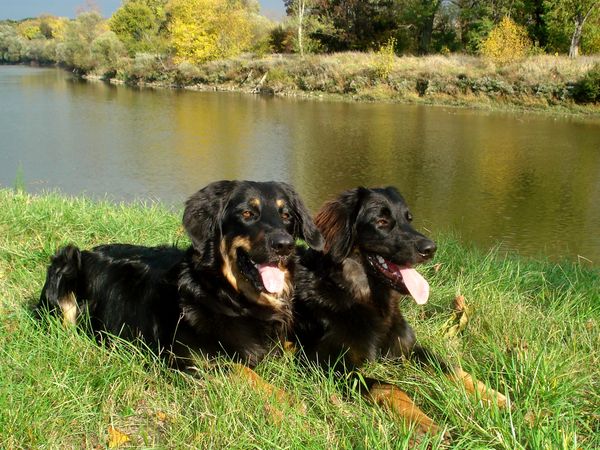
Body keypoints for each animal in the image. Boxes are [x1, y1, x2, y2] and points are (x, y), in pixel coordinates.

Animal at [37, 179, 324, 372]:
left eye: (286, 215)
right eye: (247, 213)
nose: (284, 245)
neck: (228, 295)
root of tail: (87, 252)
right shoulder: (195, 361)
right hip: (67, 261)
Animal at [290, 185, 506, 436]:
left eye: (408, 219)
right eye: (381, 221)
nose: (431, 249)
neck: (360, 296)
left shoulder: (405, 348)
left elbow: (449, 366)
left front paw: (495, 397)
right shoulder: (325, 364)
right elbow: (389, 386)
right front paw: (425, 422)